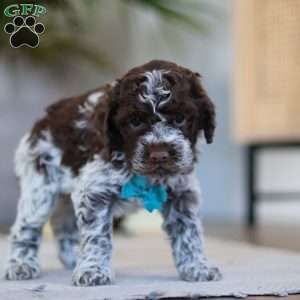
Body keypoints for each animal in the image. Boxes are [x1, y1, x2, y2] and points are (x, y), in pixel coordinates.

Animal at [4, 59, 220, 286]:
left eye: (180, 118)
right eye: (135, 122)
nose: (159, 155)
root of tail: (43, 121)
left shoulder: (182, 192)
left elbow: (189, 231)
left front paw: (197, 266)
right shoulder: (94, 192)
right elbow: (97, 235)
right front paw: (93, 269)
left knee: (64, 226)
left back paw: (72, 257)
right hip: (39, 188)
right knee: (26, 227)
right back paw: (21, 264)